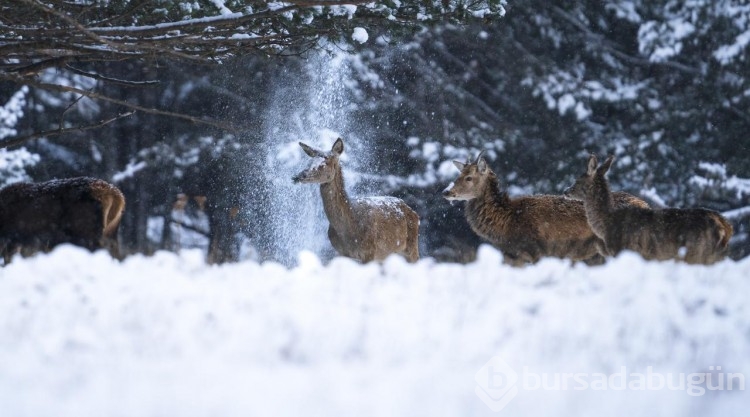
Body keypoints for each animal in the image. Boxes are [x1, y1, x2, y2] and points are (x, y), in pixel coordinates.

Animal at [294, 138, 424, 262]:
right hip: (387, 255)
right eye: (309, 161)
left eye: (324, 163)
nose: (298, 176)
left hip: (411, 247)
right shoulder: (341, 252)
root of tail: (414, 213)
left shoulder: (369, 250)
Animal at [440, 151, 652, 264]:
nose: (446, 191)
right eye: (459, 175)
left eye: (469, 178)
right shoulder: (511, 256)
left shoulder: (536, 252)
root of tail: (646, 205)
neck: (507, 223)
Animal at [564, 153, 736, 264]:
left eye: (577, 181)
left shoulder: (625, 251)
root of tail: (726, 228)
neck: (606, 224)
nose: (565, 191)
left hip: (698, 252)